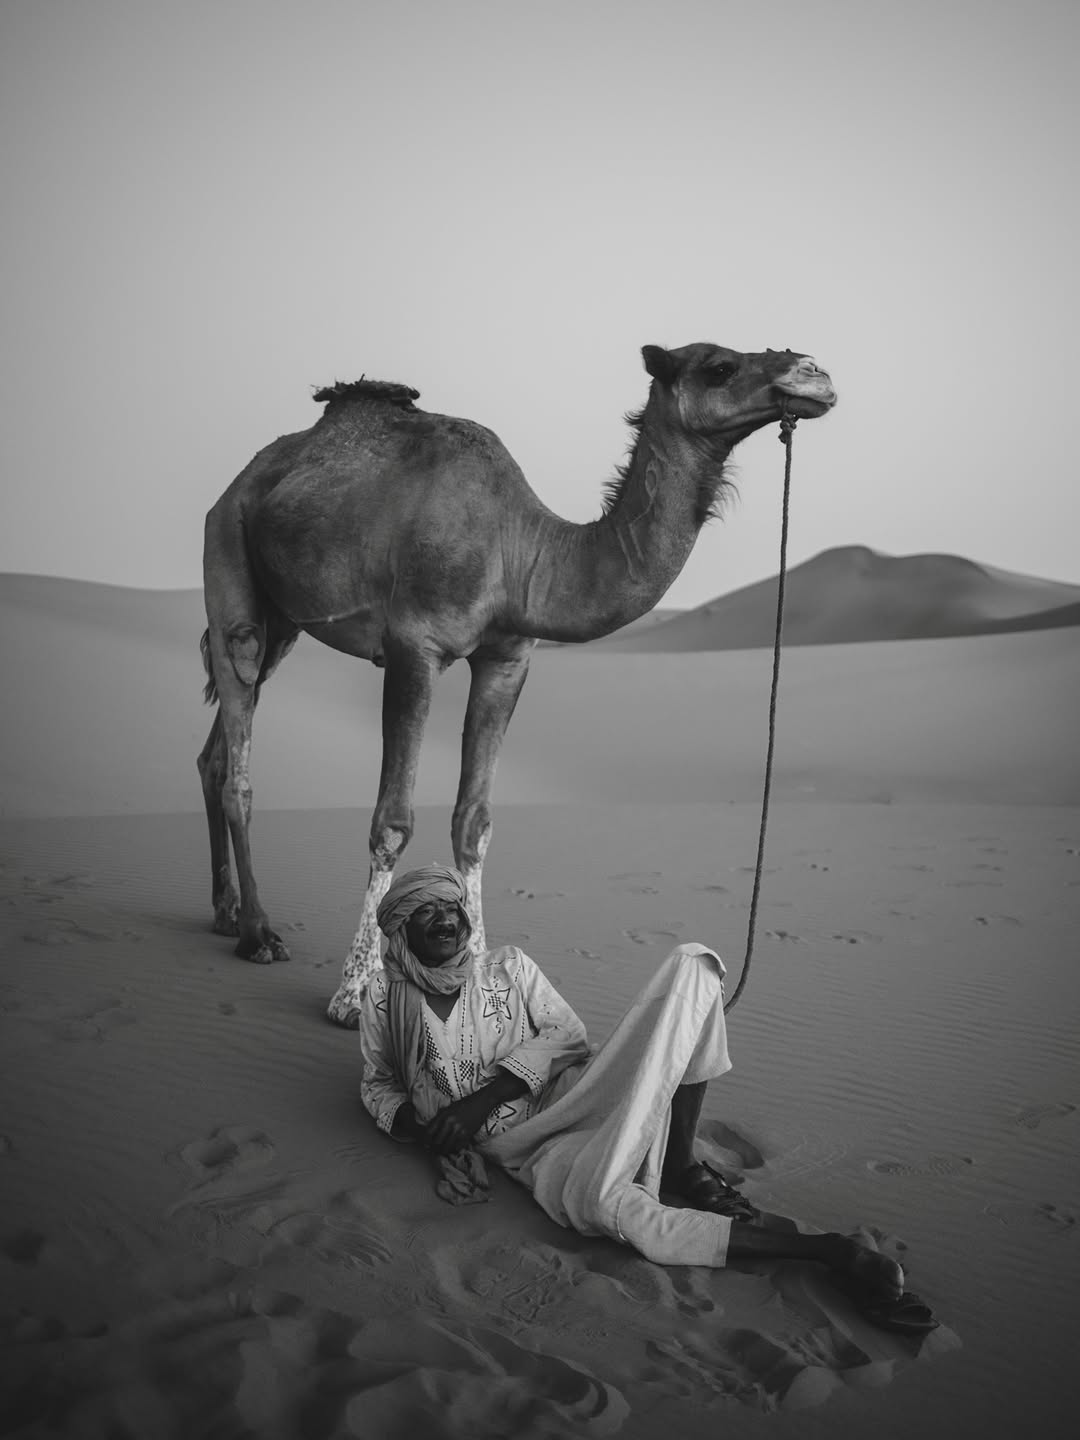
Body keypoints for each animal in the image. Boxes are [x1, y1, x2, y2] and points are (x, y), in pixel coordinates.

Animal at [198, 342, 836, 1026]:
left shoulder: (507, 659)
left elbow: (473, 822)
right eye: (719, 366)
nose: (815, 373)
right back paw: (259, 933)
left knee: (217, 751)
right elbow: (392, 822)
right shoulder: (413, 649)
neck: (521, 553)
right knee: (239, 741)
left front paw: (478, 982)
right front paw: (350, 995)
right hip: (228, 552)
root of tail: (241, 480)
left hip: (285, 620)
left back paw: (225, 913)